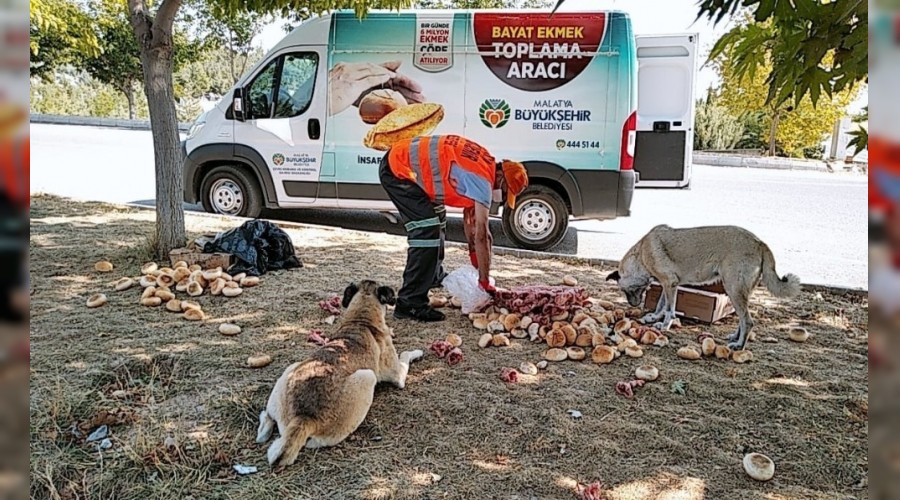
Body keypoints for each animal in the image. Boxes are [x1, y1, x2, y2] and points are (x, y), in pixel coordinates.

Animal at [253, 280, 422, 466]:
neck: (361, 320)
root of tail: (304, 417)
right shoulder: (397, 374)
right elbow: (406, 355)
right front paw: (417, 352)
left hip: (290, 370)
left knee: (265, 428)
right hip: (367, 377)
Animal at [608, 225, 800, 350]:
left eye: (625, 291)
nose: (632, 304)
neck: (641, 253)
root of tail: (760, 242)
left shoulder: (670, 284)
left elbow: (670, 309)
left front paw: (665, 325)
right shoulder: (667, 285)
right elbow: (661, 305)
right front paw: (655, 317)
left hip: (733, 290)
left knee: (748, 321)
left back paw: (739, 345)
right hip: (739, 292)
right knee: (743, 320)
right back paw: (735, 337)